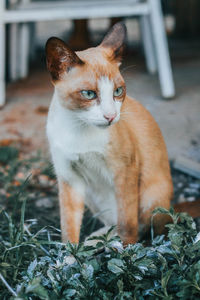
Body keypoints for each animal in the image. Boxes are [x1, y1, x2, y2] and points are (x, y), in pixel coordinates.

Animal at [45, 22, 172, 245]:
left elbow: (128, 223)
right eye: (88, 94)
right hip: (90, 194)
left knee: (143, 225)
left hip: (150, 195)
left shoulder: (124, 170)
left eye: (118, 91)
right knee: (113, 222)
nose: (111, 116)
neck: (78, 128)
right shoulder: (69, 176)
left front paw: (128, 252)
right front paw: (69, 255)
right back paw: (97, 240)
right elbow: (69, 228)